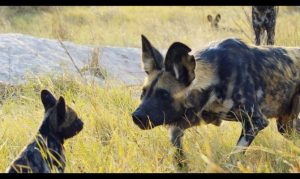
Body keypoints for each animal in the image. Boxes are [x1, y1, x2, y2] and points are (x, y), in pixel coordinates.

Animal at [132, 35, 300, 171]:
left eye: (164, 94)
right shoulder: (190, 119)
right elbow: (177, 147)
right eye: (143, 93)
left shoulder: (255, 121)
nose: (136, 116)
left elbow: (233, 157)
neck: (216, 78)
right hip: (286, 127)